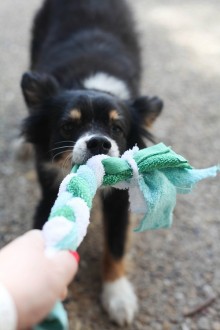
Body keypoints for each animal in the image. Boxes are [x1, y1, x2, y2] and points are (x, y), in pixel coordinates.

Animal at [20, 0, 162, 324]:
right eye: (67, 127)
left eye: (117, 128)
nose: (99, 142)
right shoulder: (52, 188)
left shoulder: (120, 199)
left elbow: (116, 243)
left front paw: (118, 295)